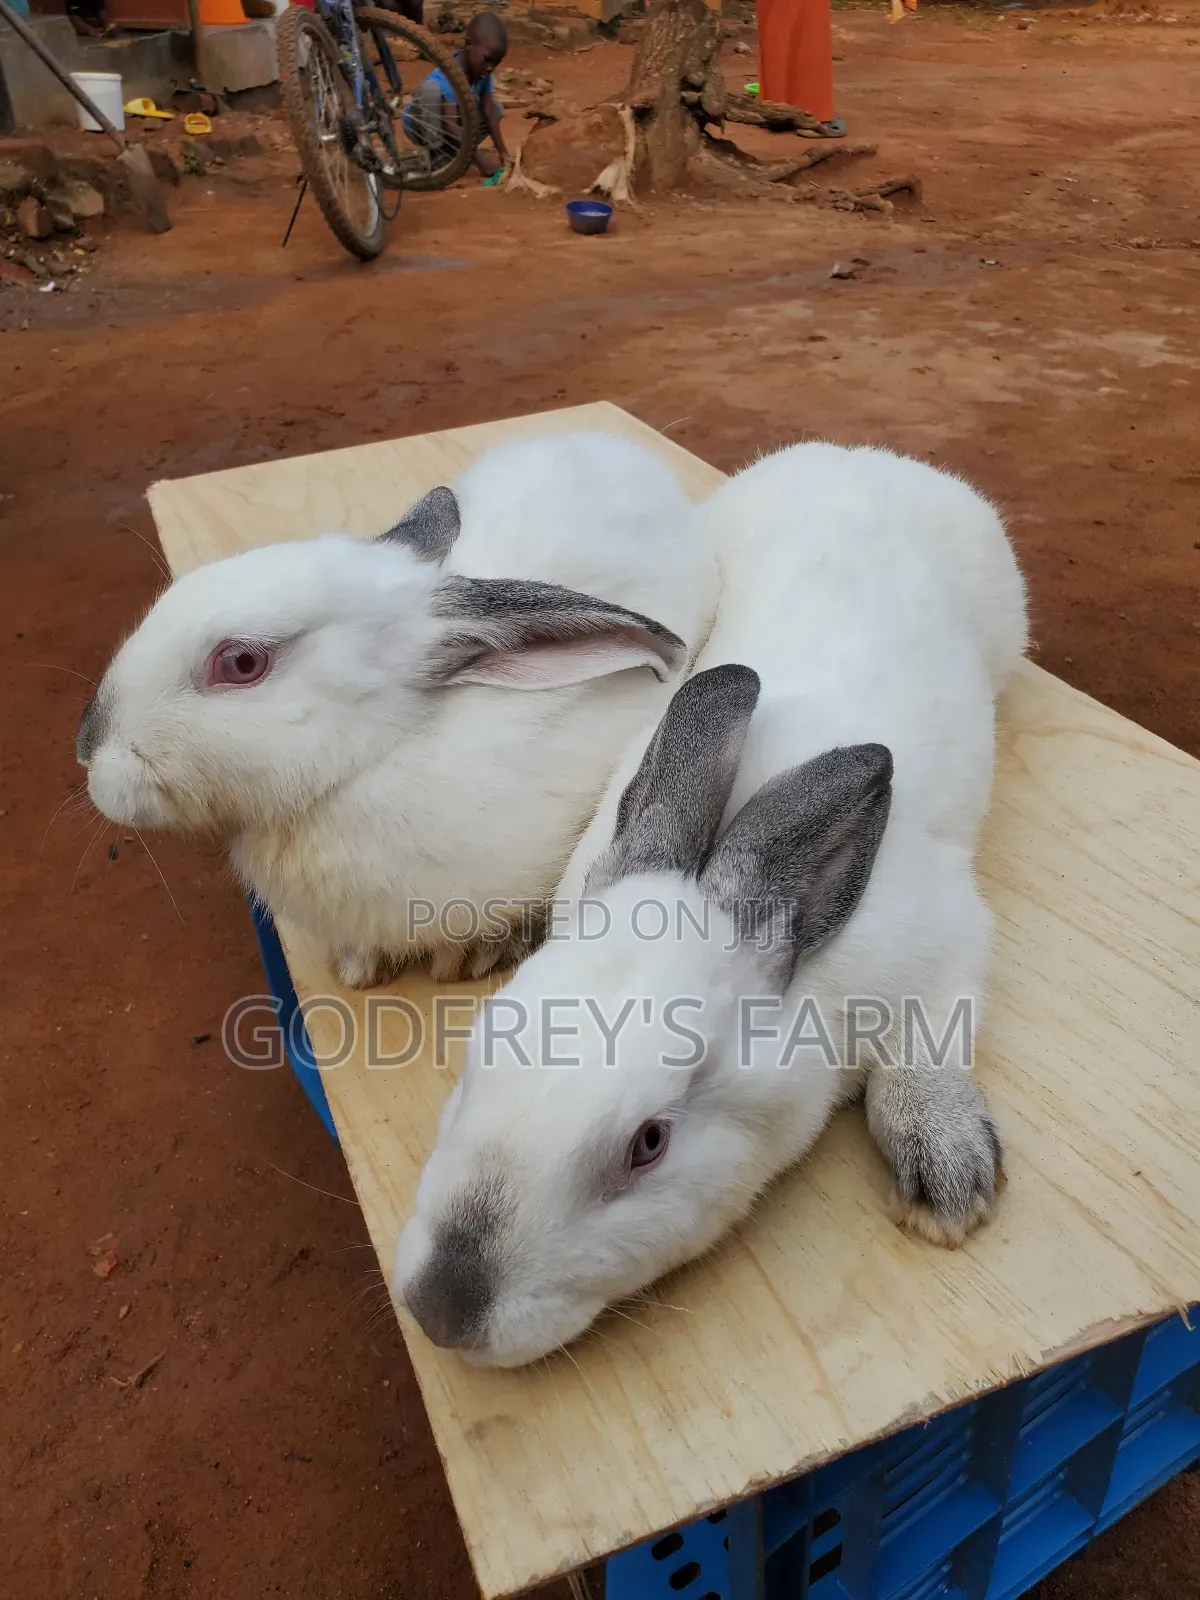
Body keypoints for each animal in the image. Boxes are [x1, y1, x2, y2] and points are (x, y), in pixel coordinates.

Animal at [392, 442, 1027, 1368]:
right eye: (479, 1052)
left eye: (650, 1143)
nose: (441, 1313)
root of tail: (867, 457)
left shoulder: (945, 943)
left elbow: (930, 1046)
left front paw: (948, 1176)